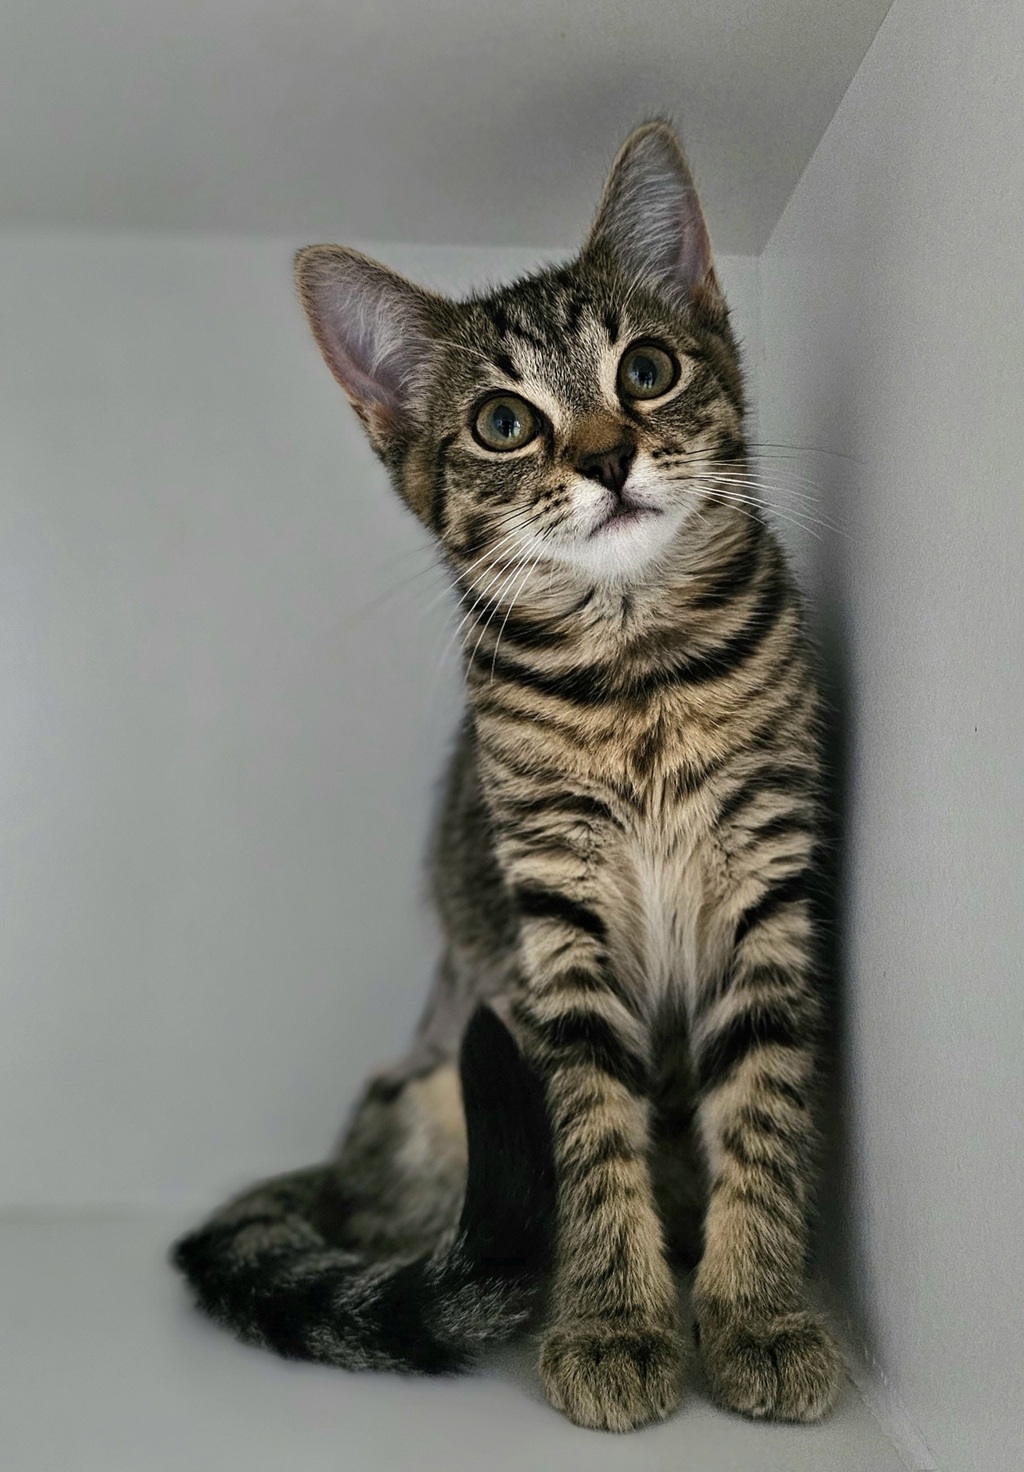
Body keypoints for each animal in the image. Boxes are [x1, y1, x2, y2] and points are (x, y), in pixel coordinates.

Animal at [173, 120, 843, 1432]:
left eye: (646, 370)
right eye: (500, 422)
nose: (610, 455)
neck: (637, 672)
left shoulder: (764, 877)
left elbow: (763, 1108)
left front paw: (757, 1311)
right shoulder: (553, 915)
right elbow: (592, 1134)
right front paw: (614, 1319)